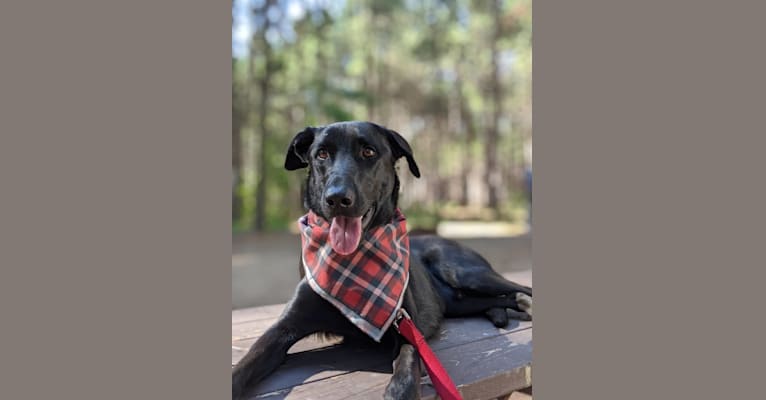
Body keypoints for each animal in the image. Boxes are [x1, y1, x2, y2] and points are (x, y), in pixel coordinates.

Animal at [232, 122, 536, 400]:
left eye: (368, 151)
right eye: (321, 154)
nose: (337, 198)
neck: (351, 265)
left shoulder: (407, 328)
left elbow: (405, 373)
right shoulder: (283, 328)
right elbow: (244, 365)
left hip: (463, 272)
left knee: (519, 287)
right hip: (457, 302)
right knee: (498, 297)